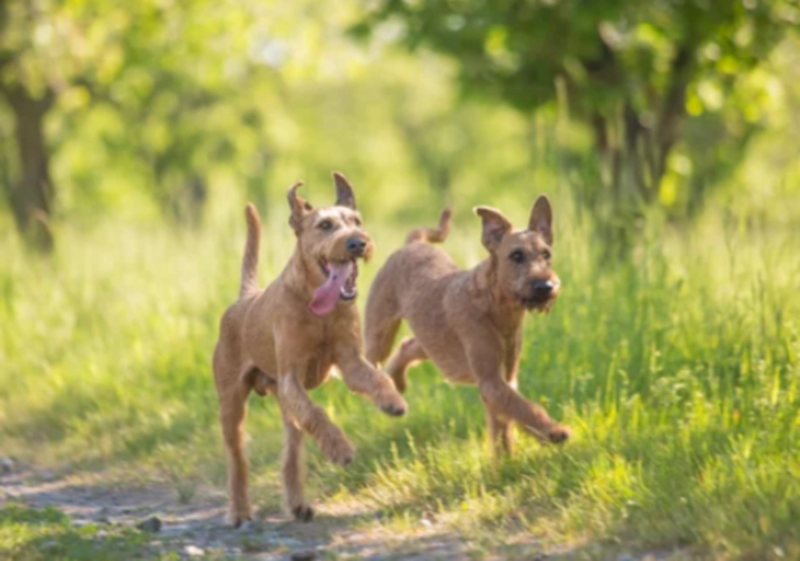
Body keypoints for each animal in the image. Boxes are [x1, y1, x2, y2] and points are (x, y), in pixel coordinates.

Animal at [212, 173, 406, 528]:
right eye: (325, 225)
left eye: (356, 222)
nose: (357, 243)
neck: (319, 309)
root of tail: (245, 297)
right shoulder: (292, 378)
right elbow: (317, 414)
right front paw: (340, 449)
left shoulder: (350, 362)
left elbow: (377, 379)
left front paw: (392, 401)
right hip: (232, 403)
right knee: (237, 457)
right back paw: (240, 511)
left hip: (286, 407)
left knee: (292, 450)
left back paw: (298, 504)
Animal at [362, 197, 568, 456]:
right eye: (516, 255)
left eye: (546, 254)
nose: (545, 286)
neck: (496, 308)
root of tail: (412, 244)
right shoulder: (490, 380)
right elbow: (524, 407)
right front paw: (554, 431)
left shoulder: (504, 379)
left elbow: (504, 421)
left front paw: (505, 459)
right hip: (379, 333)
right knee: (369, 364)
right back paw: (387, 398)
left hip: (432, 342)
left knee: (407, 345)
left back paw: (397, 381)